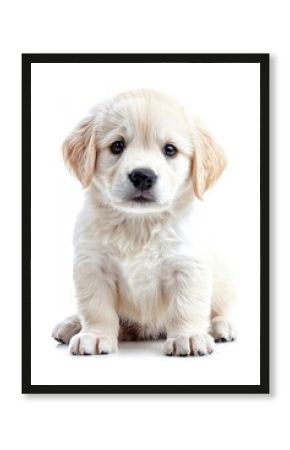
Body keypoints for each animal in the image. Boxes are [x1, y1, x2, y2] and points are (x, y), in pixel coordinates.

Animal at [52, 89, 234, 356]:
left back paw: (221, 326)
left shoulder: (188, 265)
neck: (139, 224)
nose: (142, 176)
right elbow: (96, 308)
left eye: (170, 150)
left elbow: (186, 306)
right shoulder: (92, 266)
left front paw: (188, 337)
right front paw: (95, 335)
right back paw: (72, 324)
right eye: (117, 145)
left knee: (219, 309)